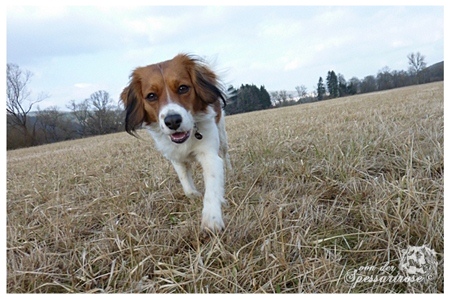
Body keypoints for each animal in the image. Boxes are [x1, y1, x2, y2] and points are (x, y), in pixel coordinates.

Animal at [119, 54, 230, 232]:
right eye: (151, 96)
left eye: (183, 88)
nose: (172, 121)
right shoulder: (175, 158)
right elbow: (186, 185)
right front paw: (194, 195)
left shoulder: (209, 156)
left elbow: (212, 187)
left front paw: (211, 218)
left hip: (222, 134)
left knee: (225, 154)